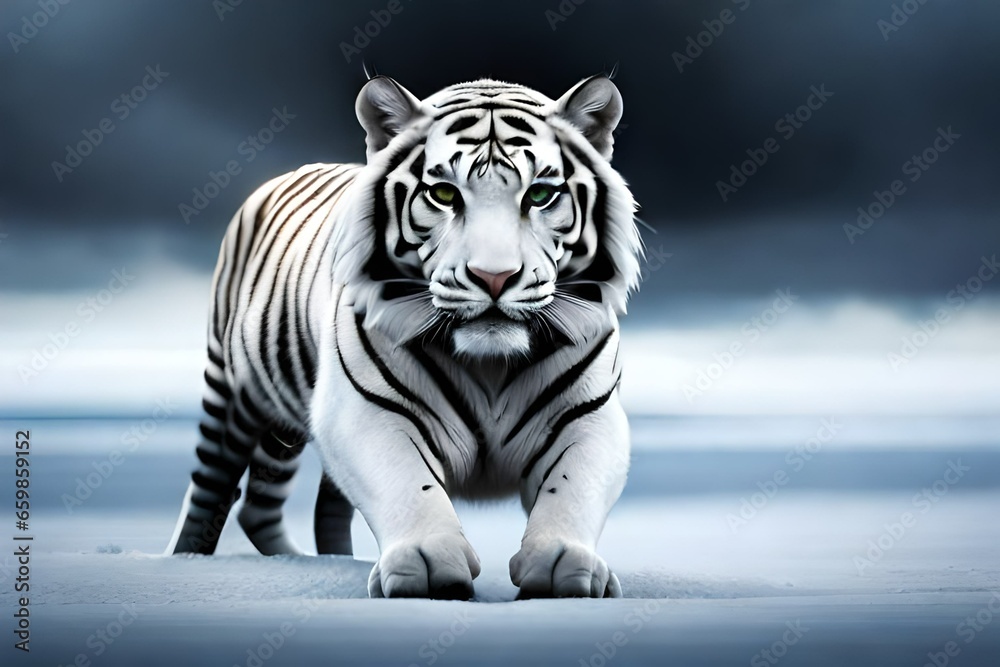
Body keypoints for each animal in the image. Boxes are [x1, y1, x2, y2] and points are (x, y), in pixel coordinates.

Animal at [166, 73, 643, 600]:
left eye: (539, 195)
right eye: (445, 195)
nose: (494, 277)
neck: (491, 364)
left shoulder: (587, 415)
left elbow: (571, 485)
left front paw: (563, 563)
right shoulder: (367, 411)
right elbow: (406, 482)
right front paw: (427, 562)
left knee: (283, 505)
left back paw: (330, 561)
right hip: (231, 389)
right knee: (214, 486)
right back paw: (187, 560)